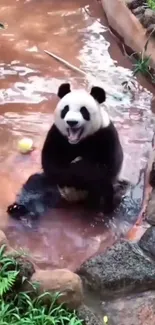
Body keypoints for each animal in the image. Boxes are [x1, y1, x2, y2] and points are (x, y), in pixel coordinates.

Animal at [6, 82, 123, 219]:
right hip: (51, 185)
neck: (78, 141)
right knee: (36, 186)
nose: (72, 122)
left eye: (84, 111)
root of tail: (71, 199)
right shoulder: (57, 134)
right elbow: (51, 164)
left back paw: (101, 210)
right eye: (65, 109)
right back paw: (19, 209)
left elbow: (107, 167)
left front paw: (82, 166)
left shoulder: (106, 135)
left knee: (108, 191)